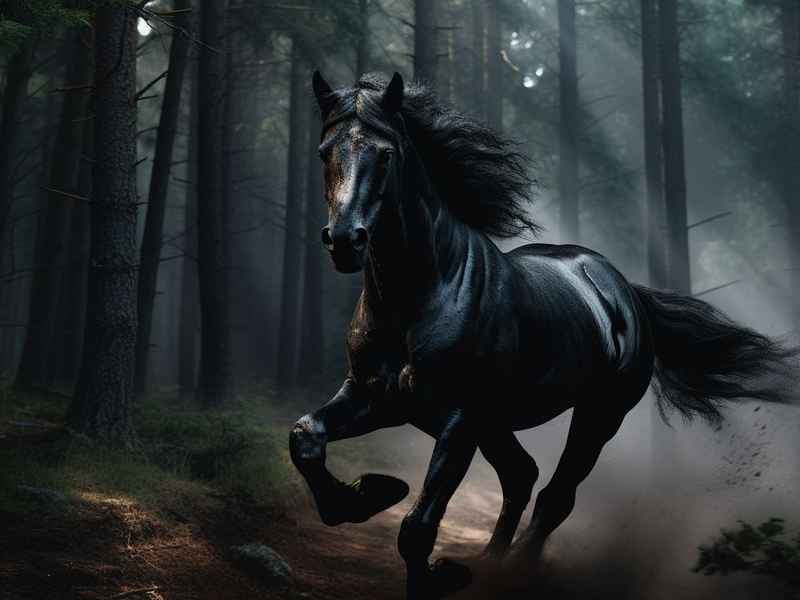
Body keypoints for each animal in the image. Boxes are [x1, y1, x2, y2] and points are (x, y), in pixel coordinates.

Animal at [289, 71, 796, 600]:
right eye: (324, 151)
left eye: (386, 154)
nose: (345, 240)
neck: (417, 296)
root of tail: (622, 290)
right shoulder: (376, 398)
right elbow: (304, 437)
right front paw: (366, 495)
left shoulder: (458, 418)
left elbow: (419, 528)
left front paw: (436, 570)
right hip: (498, 424)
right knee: (521, 476)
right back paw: (486, 565)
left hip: (598, 415)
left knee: (555, 496)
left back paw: (511, 571)